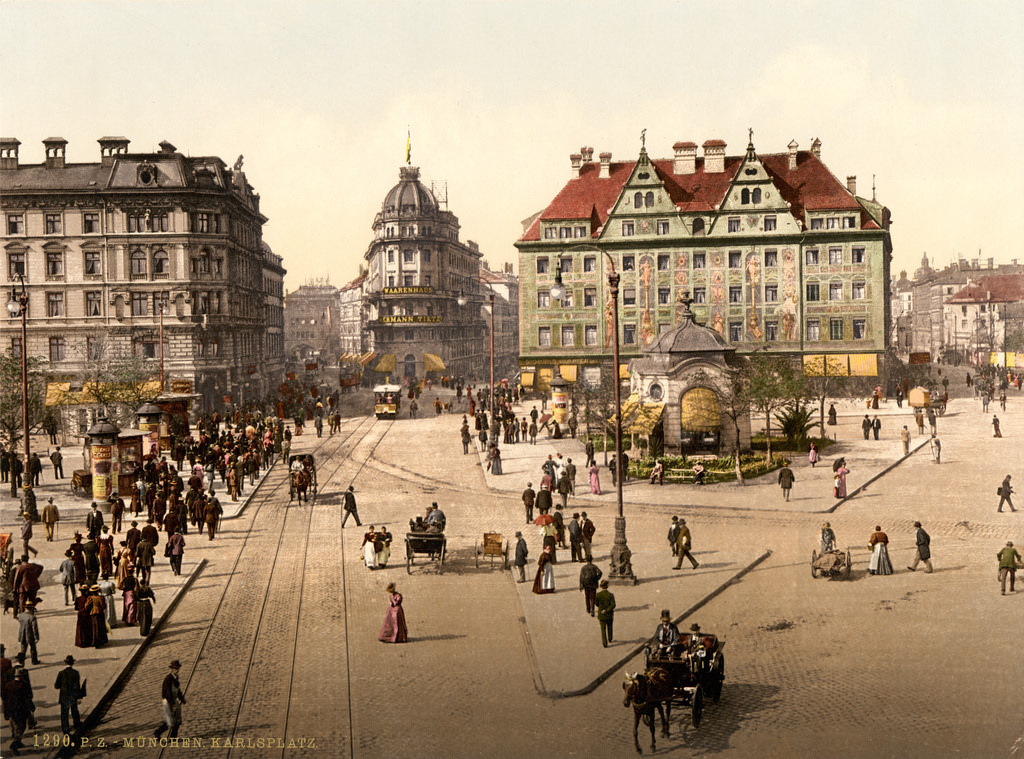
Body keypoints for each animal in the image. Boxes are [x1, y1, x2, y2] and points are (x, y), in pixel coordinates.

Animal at [618, 622, 724, 753]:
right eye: (624, 687)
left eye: (633, 687)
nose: (625, 703)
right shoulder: (639, 712)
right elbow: (635, 730)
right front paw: (638, 748)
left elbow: (652, 727)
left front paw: (653, 746)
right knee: (663, 711)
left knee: (668, 712)